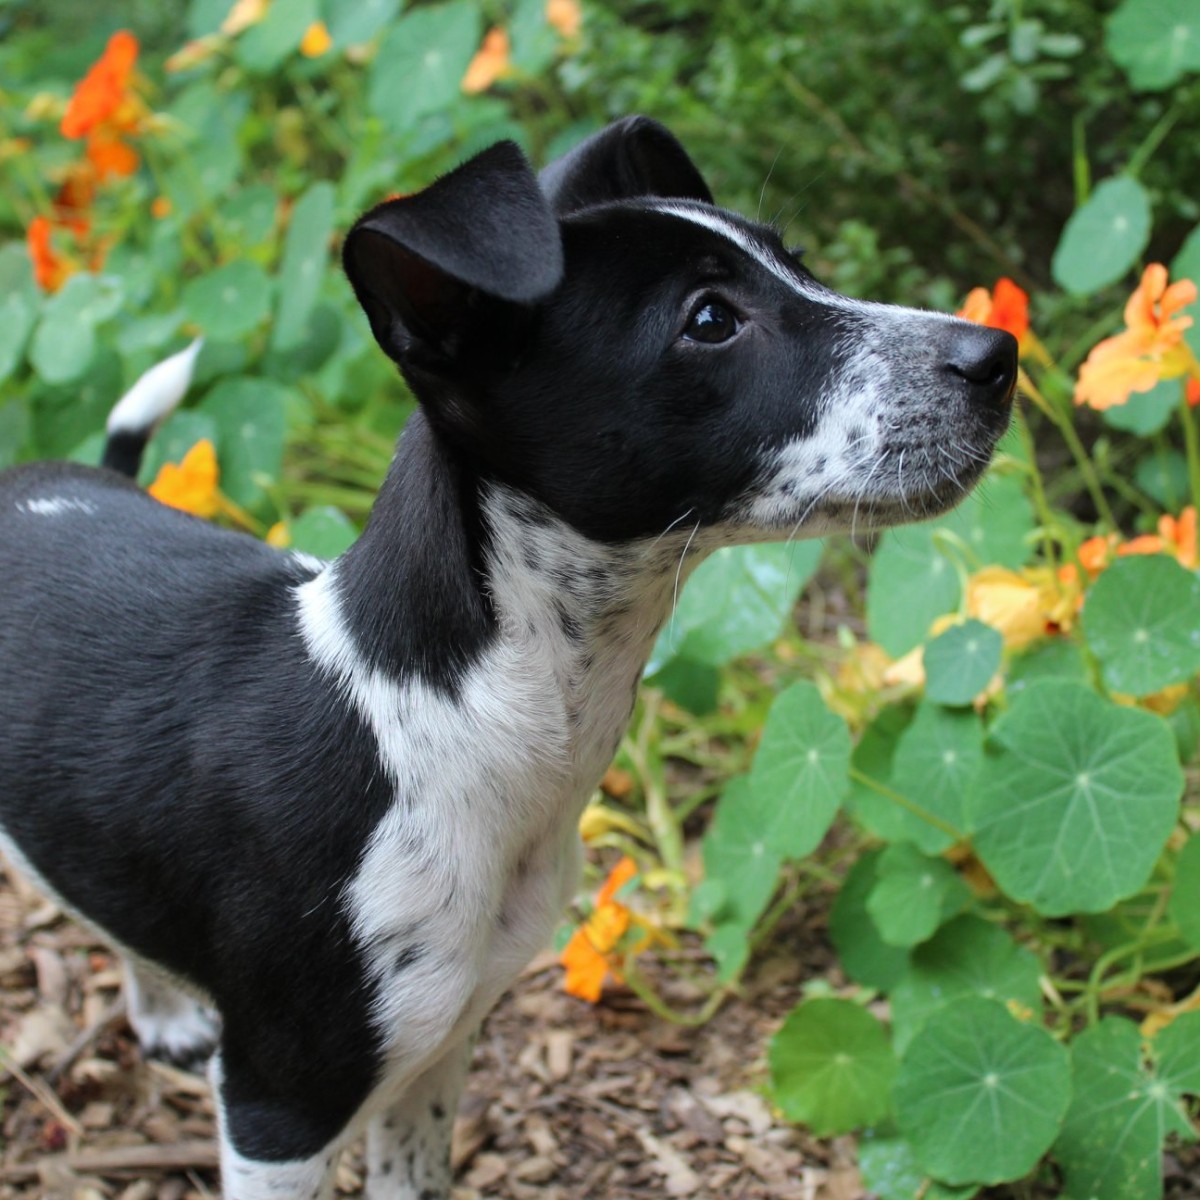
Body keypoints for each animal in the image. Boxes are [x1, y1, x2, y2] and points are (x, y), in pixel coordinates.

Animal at [0, 114, 1012, 1200]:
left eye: (800, 262)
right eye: (708, 320)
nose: (999, 352)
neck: (428, 727)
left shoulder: (440, 1049)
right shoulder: (281, 1111)